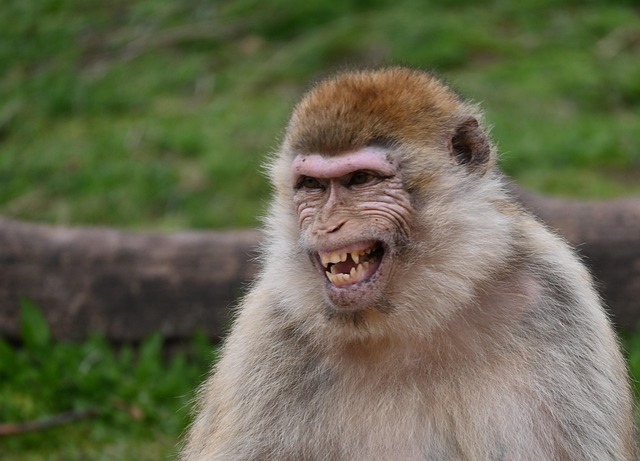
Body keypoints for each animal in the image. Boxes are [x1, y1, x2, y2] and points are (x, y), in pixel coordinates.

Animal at [181, 67, 636, 460]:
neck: (419, 314)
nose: (326, 225)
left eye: (360, 180)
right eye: (312, 185)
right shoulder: (270, 327)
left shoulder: (555, 297)